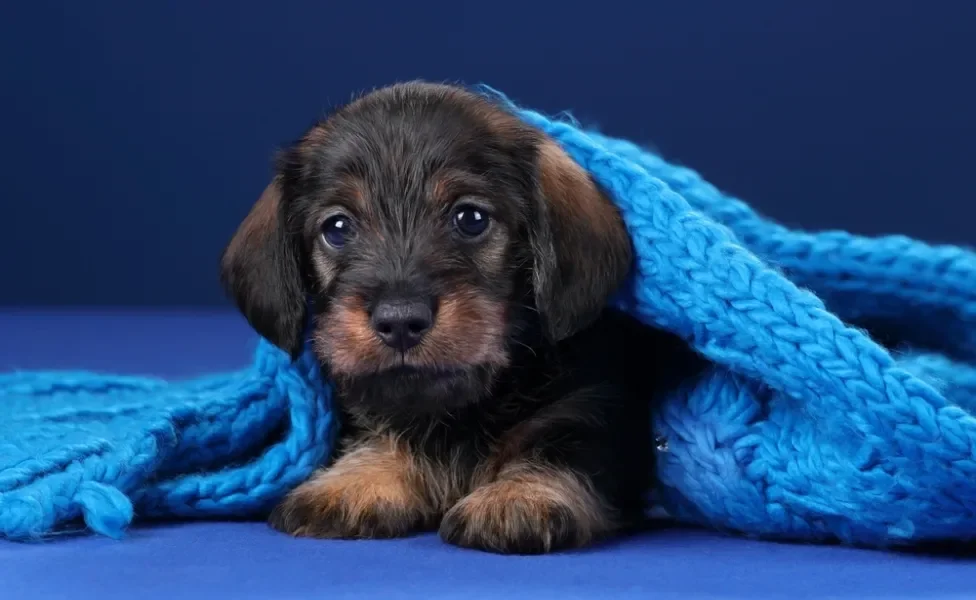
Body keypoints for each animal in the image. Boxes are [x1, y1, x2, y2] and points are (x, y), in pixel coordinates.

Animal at [220, 82, 684, 556]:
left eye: (471, 218)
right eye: (337, 227)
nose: (400, 321)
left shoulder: (595, 405)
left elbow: (560, 446)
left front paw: (519, 496)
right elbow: (383, 430)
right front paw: (354, 480)